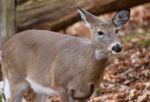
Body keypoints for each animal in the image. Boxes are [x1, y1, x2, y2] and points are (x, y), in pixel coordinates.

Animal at [0, 7, 130, 102]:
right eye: (100, 32)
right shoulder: (60, 85)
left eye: (116, 30)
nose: (117, 47)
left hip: (38, 87)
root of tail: (4, 47)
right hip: (15, 78)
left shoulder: (85, 93)